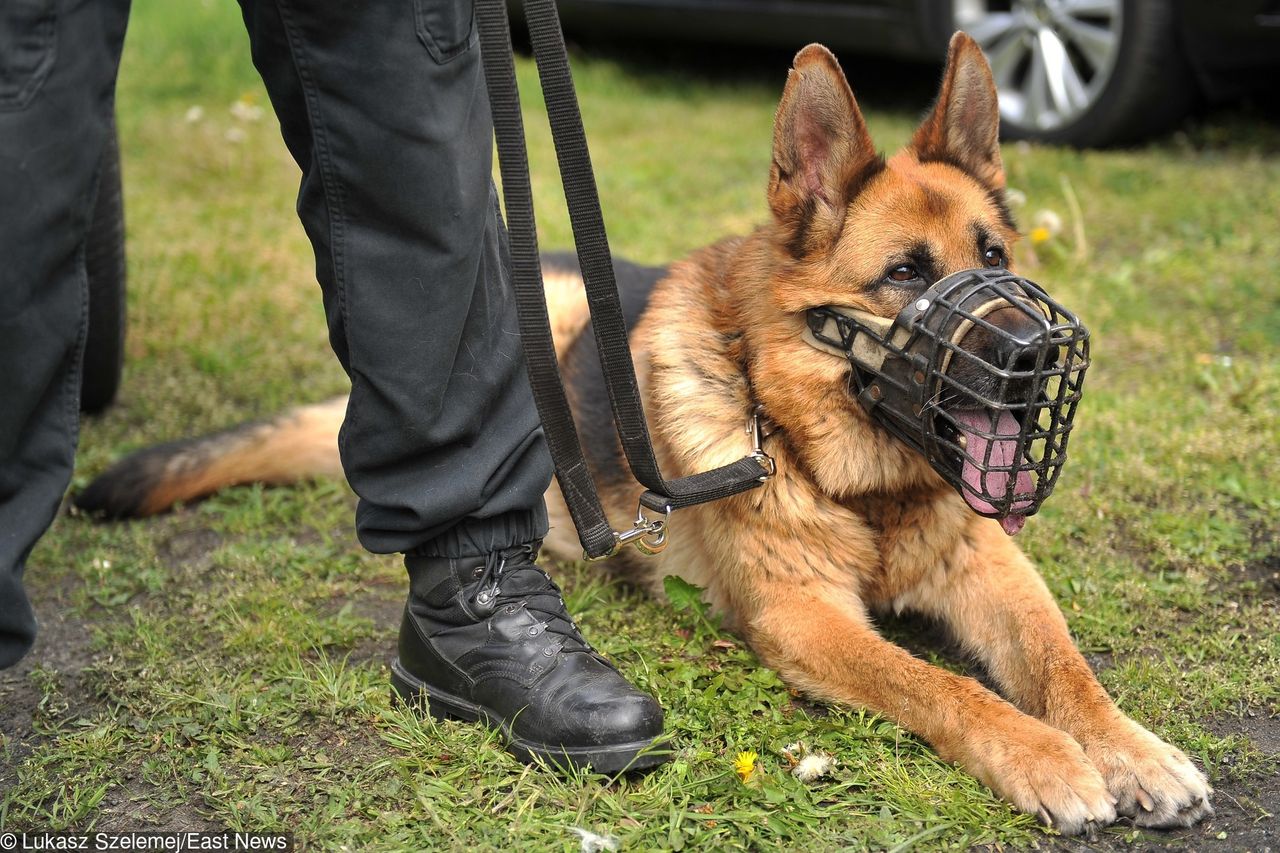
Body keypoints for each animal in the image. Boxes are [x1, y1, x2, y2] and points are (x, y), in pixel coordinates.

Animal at [80, 36, 1208, 835]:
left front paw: (1130, 748)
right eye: (905, 274)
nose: (1036, 353)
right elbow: (941, 684)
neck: (834, 464)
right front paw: (1046, 757)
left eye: (993, 256)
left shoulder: (991, 564)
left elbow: (1062, 663)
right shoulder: (802, 616)